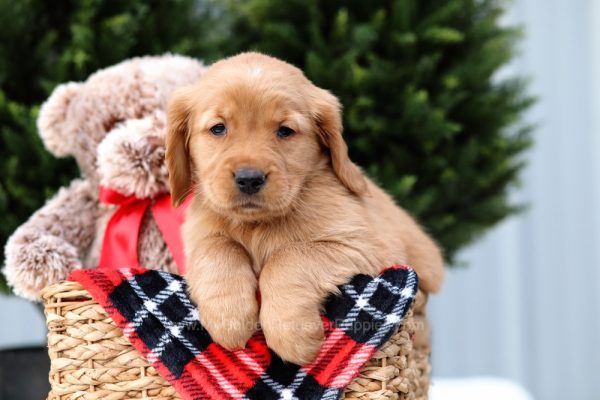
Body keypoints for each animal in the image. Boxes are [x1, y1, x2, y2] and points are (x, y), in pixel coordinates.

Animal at [166, 51, 442, 364]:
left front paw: (291, 334)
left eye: (285, 131)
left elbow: (287, 257)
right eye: (218, 128)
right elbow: (217, 247)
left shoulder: (364, 246)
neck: (257, 224)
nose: (249, 179)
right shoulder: (198, 238)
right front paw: (229, 317)